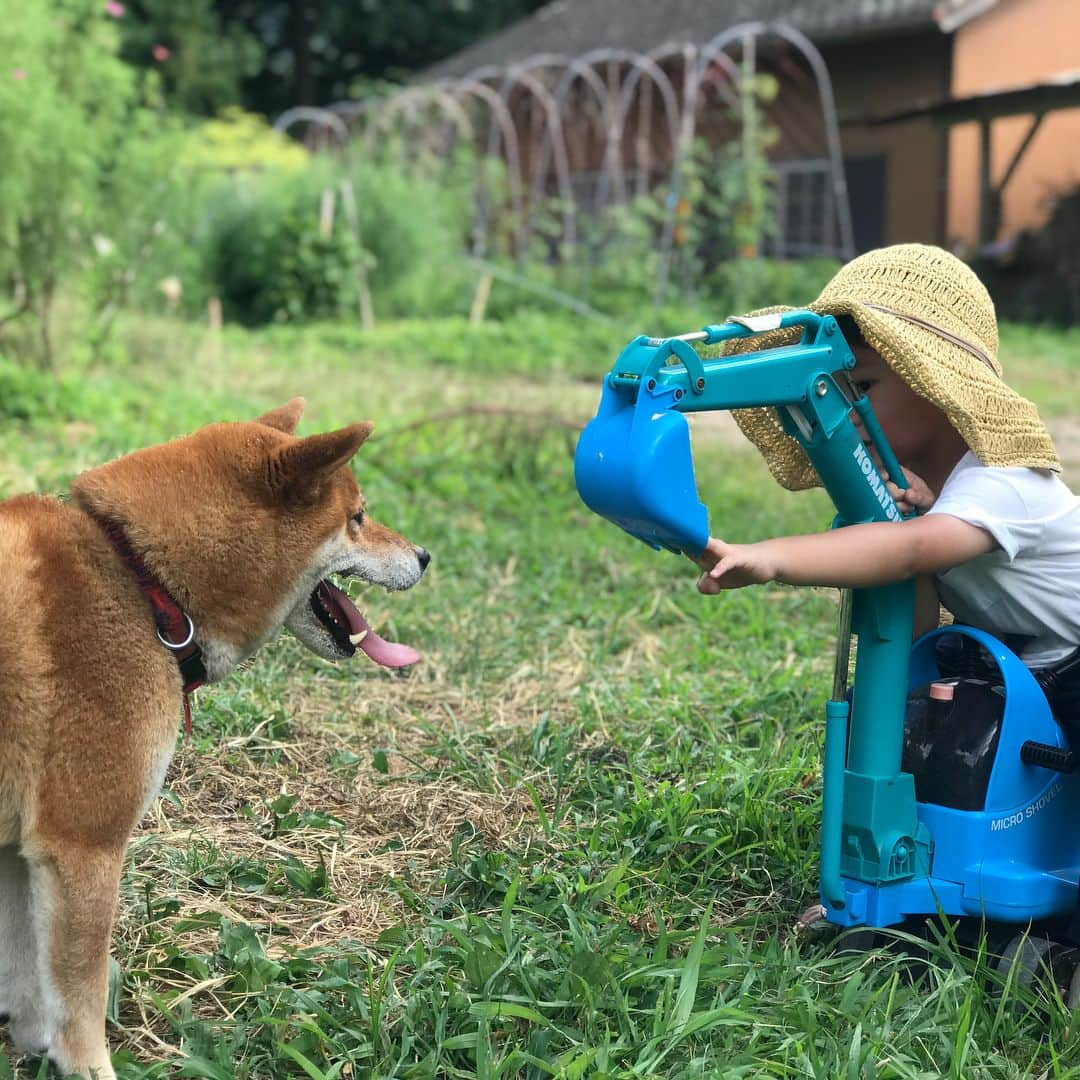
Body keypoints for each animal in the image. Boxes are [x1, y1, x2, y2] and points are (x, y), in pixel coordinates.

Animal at [0, 399, 425, 1080]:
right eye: (358, 518)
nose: (426, 555)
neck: (136, 578)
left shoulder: (24, 848)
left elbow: (29, 980)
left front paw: (35, 1045)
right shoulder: (83, 845)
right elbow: (80, 991)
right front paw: (88, 1065)